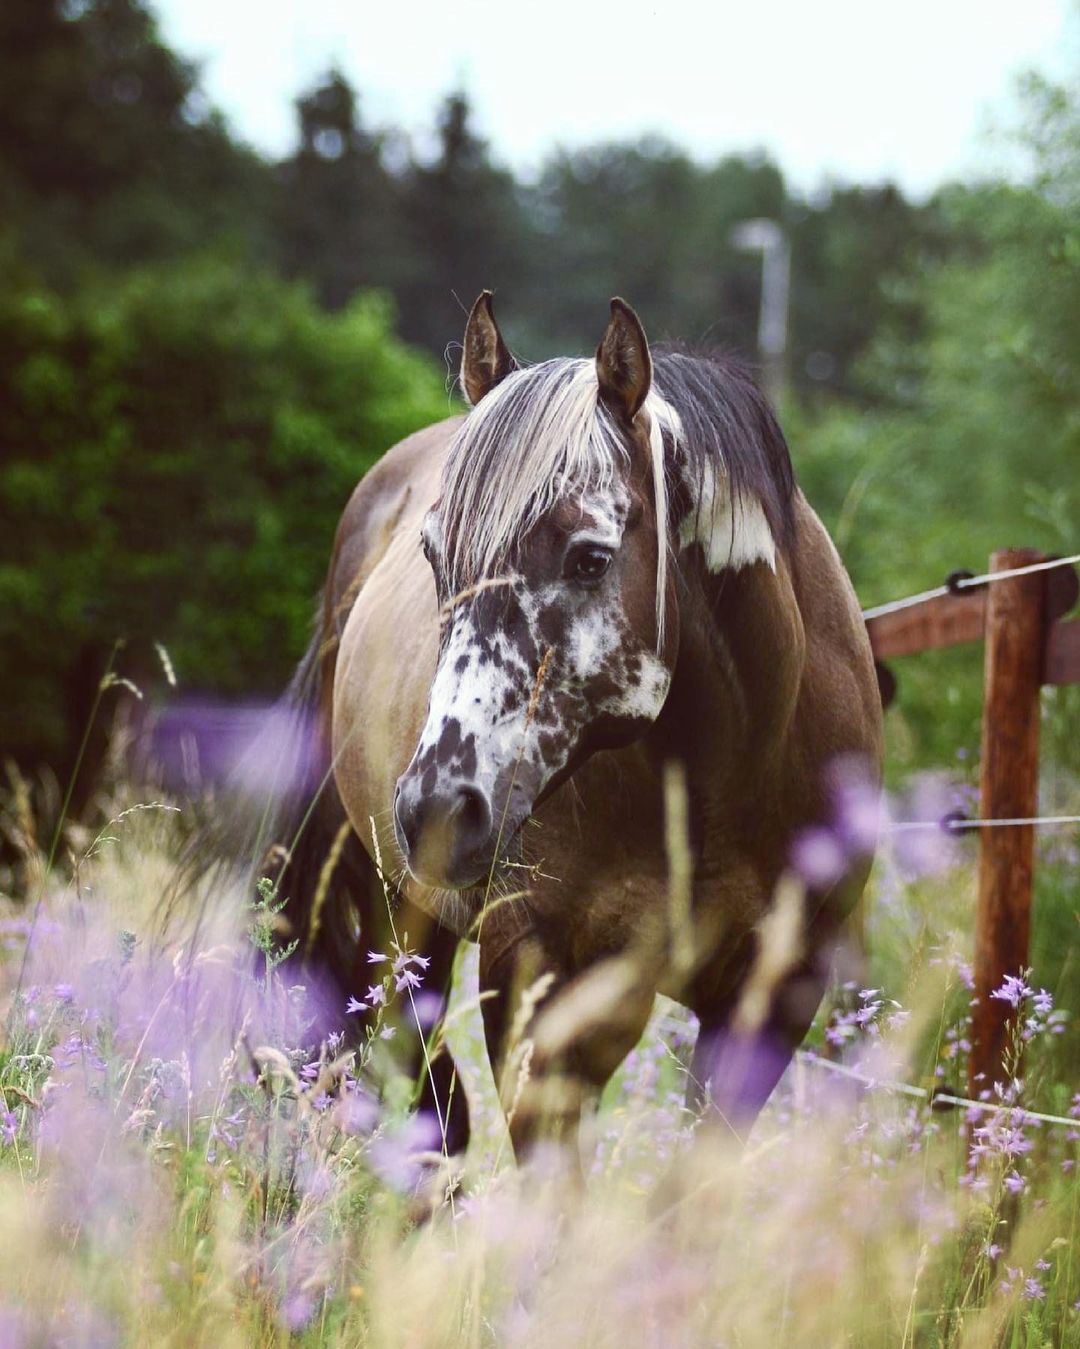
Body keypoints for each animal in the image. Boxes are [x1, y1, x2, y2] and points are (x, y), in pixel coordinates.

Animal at [257, 292, 879, 1160]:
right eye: (434, 556)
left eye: (589, 557)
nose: (439, 807)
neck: (716, 779)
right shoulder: (540, 986)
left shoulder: (773, 996)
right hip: (400, 914)